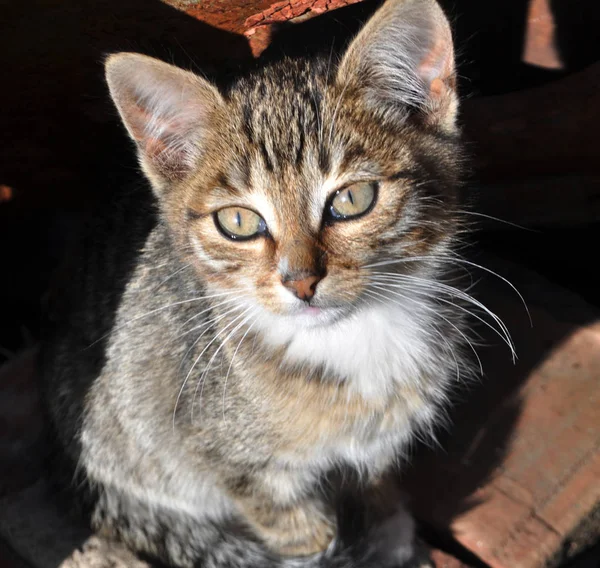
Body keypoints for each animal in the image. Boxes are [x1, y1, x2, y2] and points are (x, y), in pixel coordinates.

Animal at [41, 1, 468, 568]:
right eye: (239, 223)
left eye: (353, 199)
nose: (301, 281)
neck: (354, 340)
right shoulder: (233, 463)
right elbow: (302, 535)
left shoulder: (381, 444)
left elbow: (375, 487)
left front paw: (390, 531)